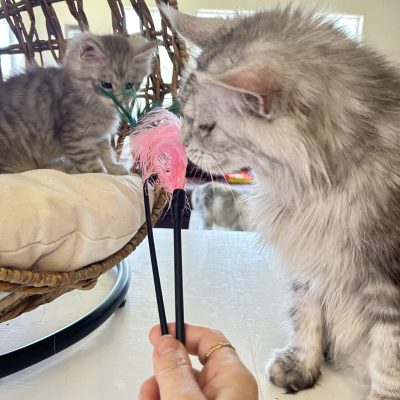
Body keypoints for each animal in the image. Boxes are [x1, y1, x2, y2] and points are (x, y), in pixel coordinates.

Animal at [0, 32, 155, 173]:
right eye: (107, 85)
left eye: (129, 85)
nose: (121, 100)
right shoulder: (76, 140)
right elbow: (93, 167)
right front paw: (103, 175)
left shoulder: (100, 136)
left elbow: (107, 153)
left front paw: (115, 168)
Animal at [164, 3, 400, 400]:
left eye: (207, 127)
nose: (181, 144)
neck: (318, 190)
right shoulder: (308, 266)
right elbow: (305, 318)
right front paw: (301, 366)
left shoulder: (388, 286)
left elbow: (388, 359)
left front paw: (384, 396)